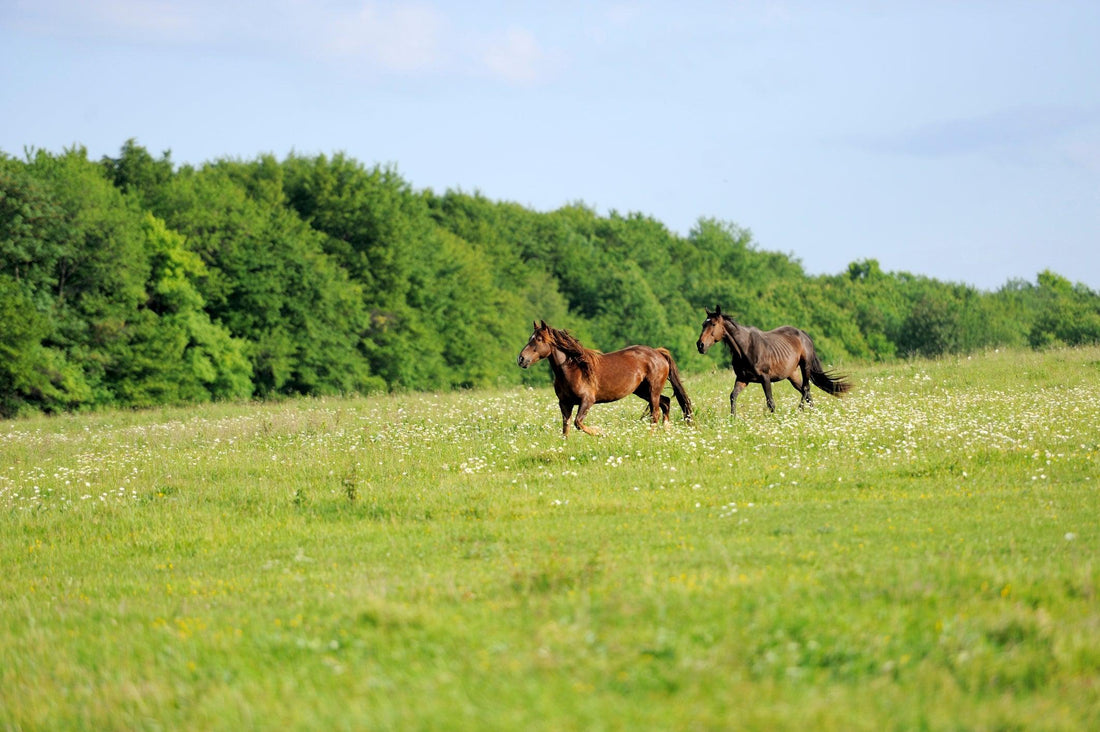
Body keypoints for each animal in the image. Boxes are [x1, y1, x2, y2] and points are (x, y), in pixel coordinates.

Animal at [512, 319, 686, 433]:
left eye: (539, 339)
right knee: (666, 402)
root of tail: (658, 353)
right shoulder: (565, 403)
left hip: (652, 390)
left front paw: (599, 433)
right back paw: (667, 430)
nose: (521, 359)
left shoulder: (587, 401)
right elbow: (566, 427)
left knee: (655, 413)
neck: (574, 369)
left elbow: (578, 422)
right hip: (642, 391)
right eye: (530, 338)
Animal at [695, 303, 849, 416]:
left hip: (805, 366)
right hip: (792, 374)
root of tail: (803, 334)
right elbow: (733, 396)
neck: (746, 348)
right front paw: (733, 419)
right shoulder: (742, 379)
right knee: (805, 391)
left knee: (806, 388)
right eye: (703, 324)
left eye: (713, 324)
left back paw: (800, 411)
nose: (700, 345)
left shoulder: (765, 378)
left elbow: (770, 401)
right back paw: (812, 412)